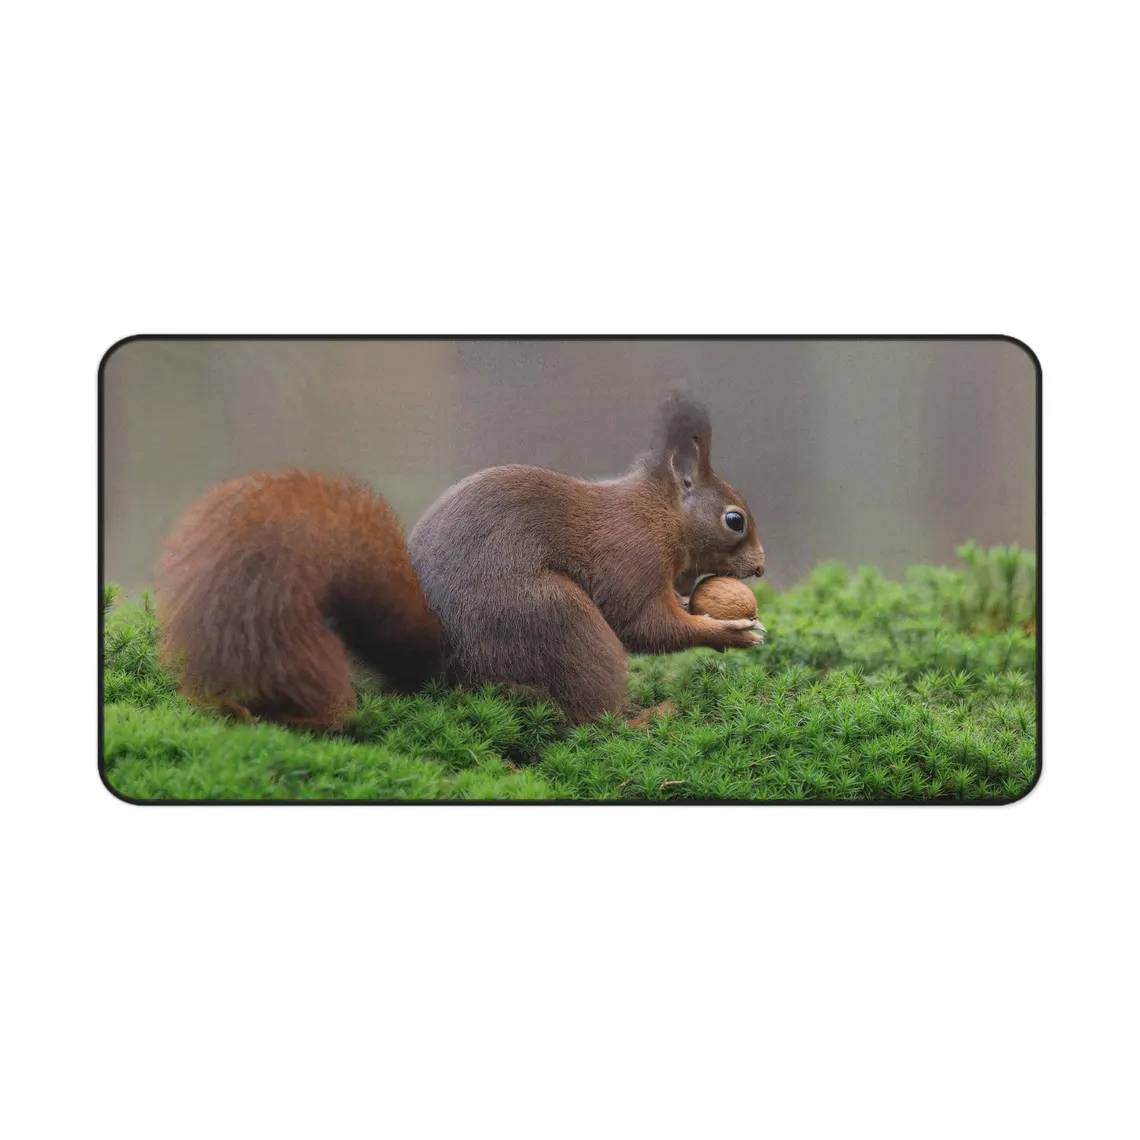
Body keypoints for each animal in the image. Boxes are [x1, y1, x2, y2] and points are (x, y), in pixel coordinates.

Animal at [156, 394, 766, 730]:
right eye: (735, 519)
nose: (760, 569)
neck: (655, 515)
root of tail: (446, 663)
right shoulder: (628, 558)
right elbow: (644, 625)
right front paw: (728, 631)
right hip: (560, 621)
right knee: (593, 720)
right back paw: (648, 717)